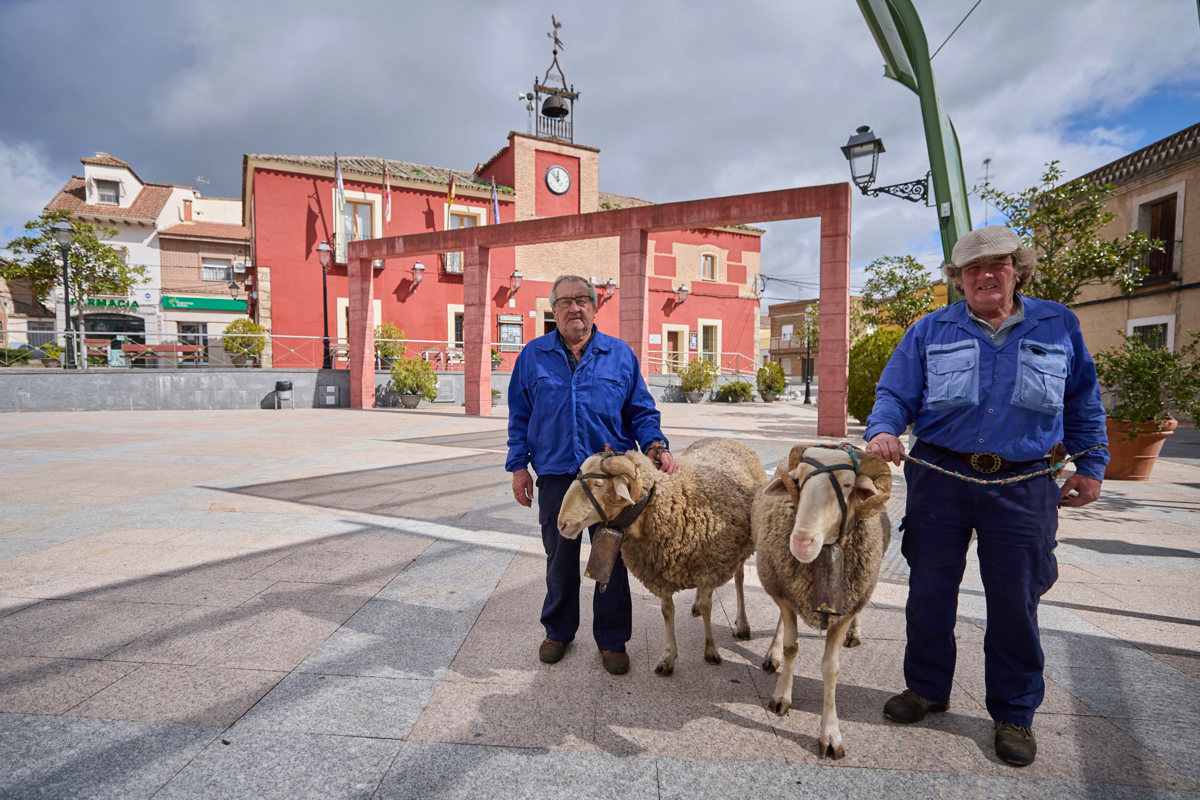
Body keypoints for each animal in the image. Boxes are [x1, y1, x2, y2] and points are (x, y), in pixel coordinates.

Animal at [554, 438, 763, 676]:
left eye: (598, 484)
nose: (562, 524)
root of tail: (726, 439)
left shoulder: (708, 568)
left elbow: (709, 607)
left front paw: (710, 650)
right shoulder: (660, 574)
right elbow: (667, 611)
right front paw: (668, 657)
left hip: (742, 547)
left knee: (739, 580)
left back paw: (742, 624)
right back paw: (696, 605)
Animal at [748, 448, 892, 762]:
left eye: (848, 485)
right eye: (798, 480)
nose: (801, 542)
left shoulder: (845, 610)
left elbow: (831, 668)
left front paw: (830, 734)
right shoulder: (786, 594)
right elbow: (791, 647)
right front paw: (781, 697)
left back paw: (855, 634)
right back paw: (772, 655)